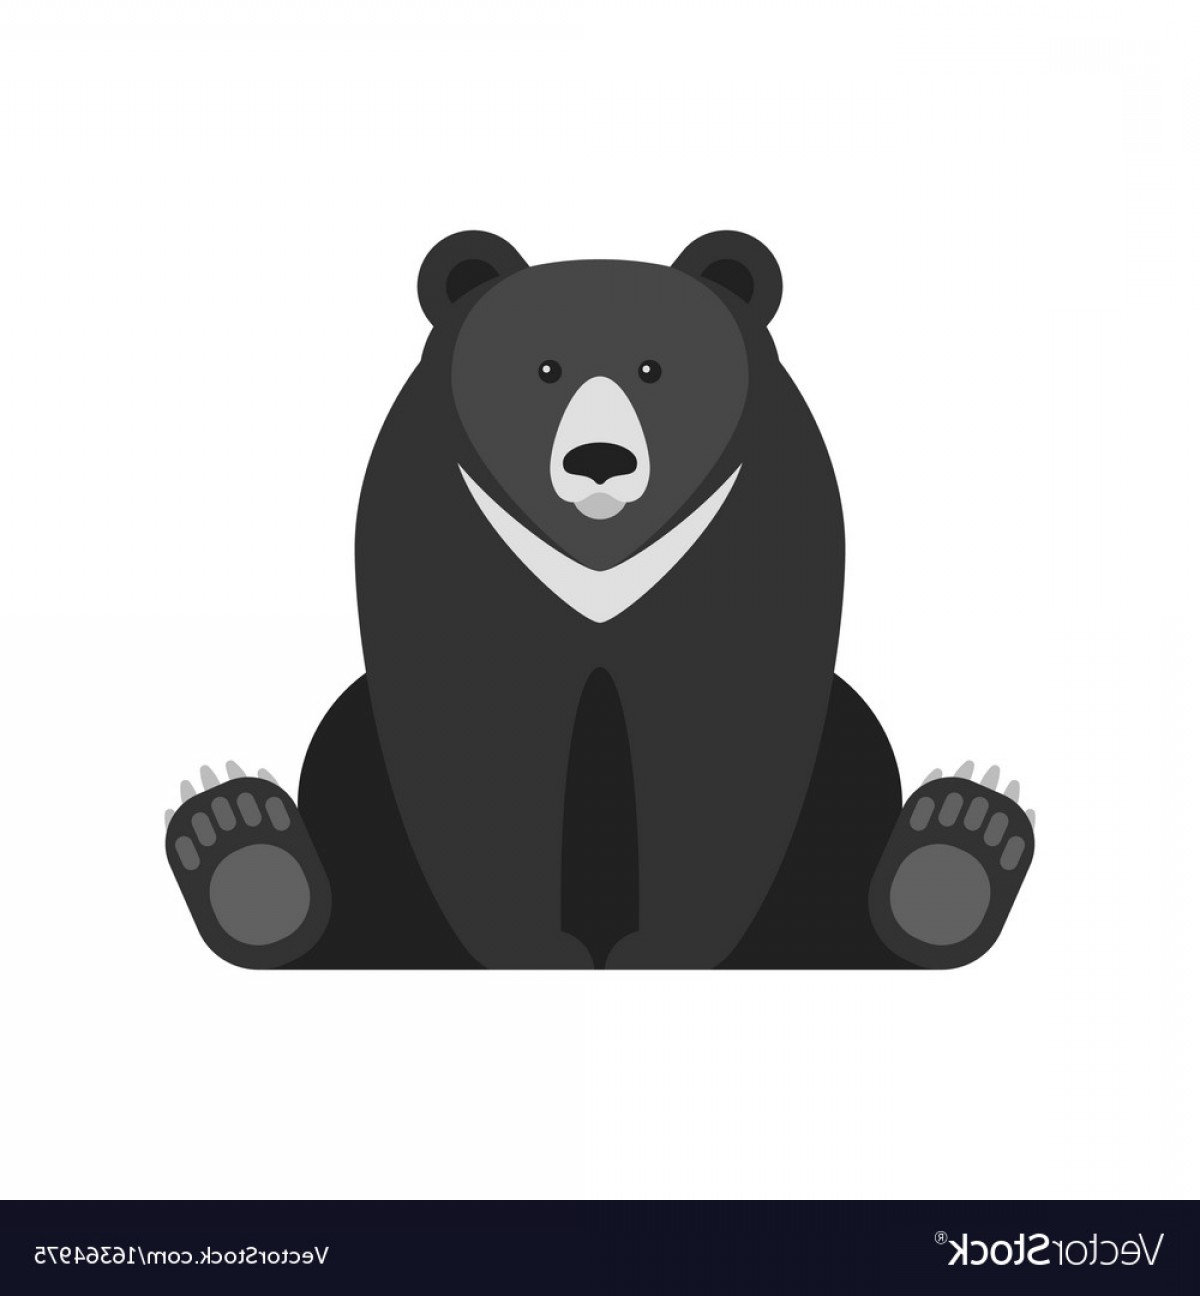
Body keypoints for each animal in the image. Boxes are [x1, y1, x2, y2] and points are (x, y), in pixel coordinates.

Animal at [163, 231, 1036, 970]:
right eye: (543, 369)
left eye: (655, 369)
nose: (600, 460)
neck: (600, 569)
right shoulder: (453, 539)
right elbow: (477, 737)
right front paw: (535, 947)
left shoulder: (746, 539)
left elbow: (722, 736)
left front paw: (663, 948)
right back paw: (240, 845)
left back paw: (959, 845)